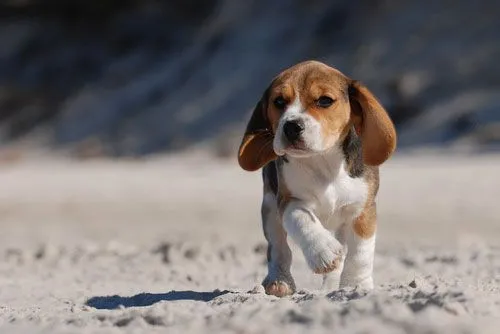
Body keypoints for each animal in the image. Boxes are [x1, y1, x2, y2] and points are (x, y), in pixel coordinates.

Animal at [238, 59, 398, 294]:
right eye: (279, 101)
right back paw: (279, 281)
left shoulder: (363, 208)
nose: (291, 126)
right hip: (269, 209)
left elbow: (360, 252)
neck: (323, 161)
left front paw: (356, 285)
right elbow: (302, 220)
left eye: (324, 101)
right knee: (278, 248)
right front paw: (323, 251)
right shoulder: (288, 200)